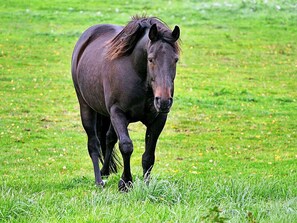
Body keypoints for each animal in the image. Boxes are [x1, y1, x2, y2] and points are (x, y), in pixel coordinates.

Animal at [70, 15, 179, 191]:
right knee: (93, 144)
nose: (163, 101)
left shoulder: (158, 119)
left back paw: (105, 172)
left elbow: (149, 155)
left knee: (109, 138)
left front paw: (146, 185)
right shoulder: (118, 113)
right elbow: (126, 146)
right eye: (150, 59)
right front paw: (126, 183)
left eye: (175, 60)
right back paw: (99, 181)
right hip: (86, 106)